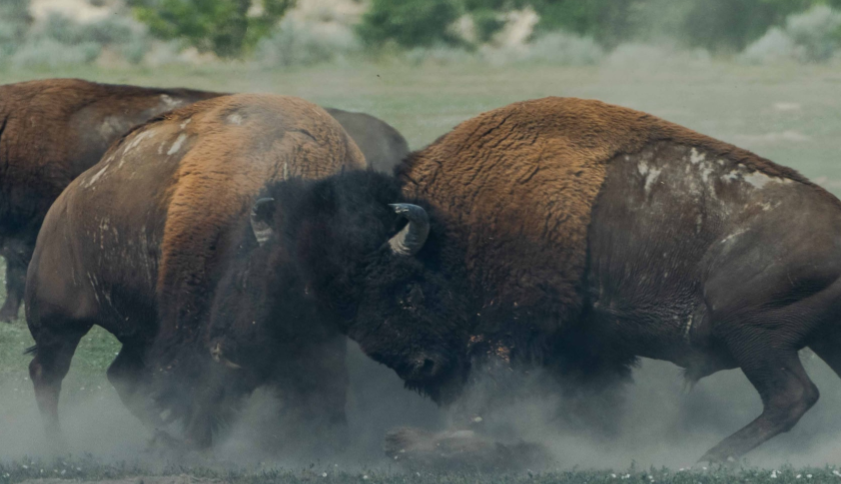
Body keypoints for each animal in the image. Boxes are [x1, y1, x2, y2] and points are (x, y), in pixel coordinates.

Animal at [26, 94, 366, 450]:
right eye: (246, 280)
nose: (231, 352)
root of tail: (63, 203)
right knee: (47, 373)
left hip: (138, 330)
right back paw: (59, 444)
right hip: (57, 323)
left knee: (121, 376)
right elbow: (199, 383)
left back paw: (162, 436)